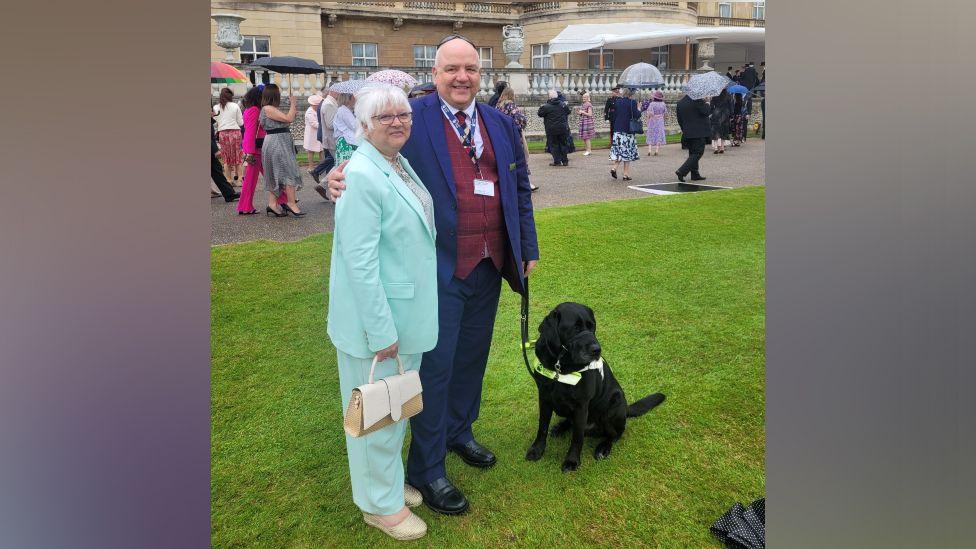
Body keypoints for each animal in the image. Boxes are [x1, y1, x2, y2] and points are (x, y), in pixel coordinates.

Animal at [524, 300, 668, 470]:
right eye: (575, 328)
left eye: (592, 326)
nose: (597, 349)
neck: (560, 365)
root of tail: (626, 409)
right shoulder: (544, 397)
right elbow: (542, 427)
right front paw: (537, 450)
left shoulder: (581, 405)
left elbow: (577, 437)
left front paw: (572, 461)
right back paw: (560, 427)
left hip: (613, 405)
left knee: (616, 434)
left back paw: (603, 448)